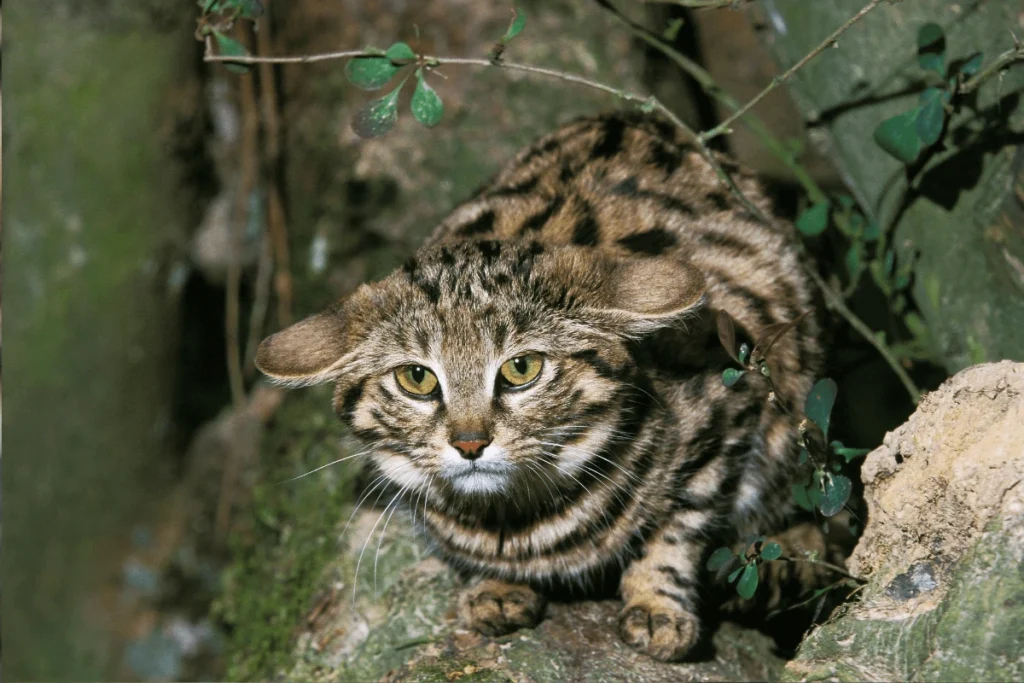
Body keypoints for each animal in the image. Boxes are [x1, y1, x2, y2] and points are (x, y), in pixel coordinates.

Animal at [253, 112, 823, 663]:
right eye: (416, 377)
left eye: (521, 368)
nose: (469, 443)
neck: (519, 521)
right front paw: (495, 585)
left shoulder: (731, 406)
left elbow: (681, 523)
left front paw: (657, 603)